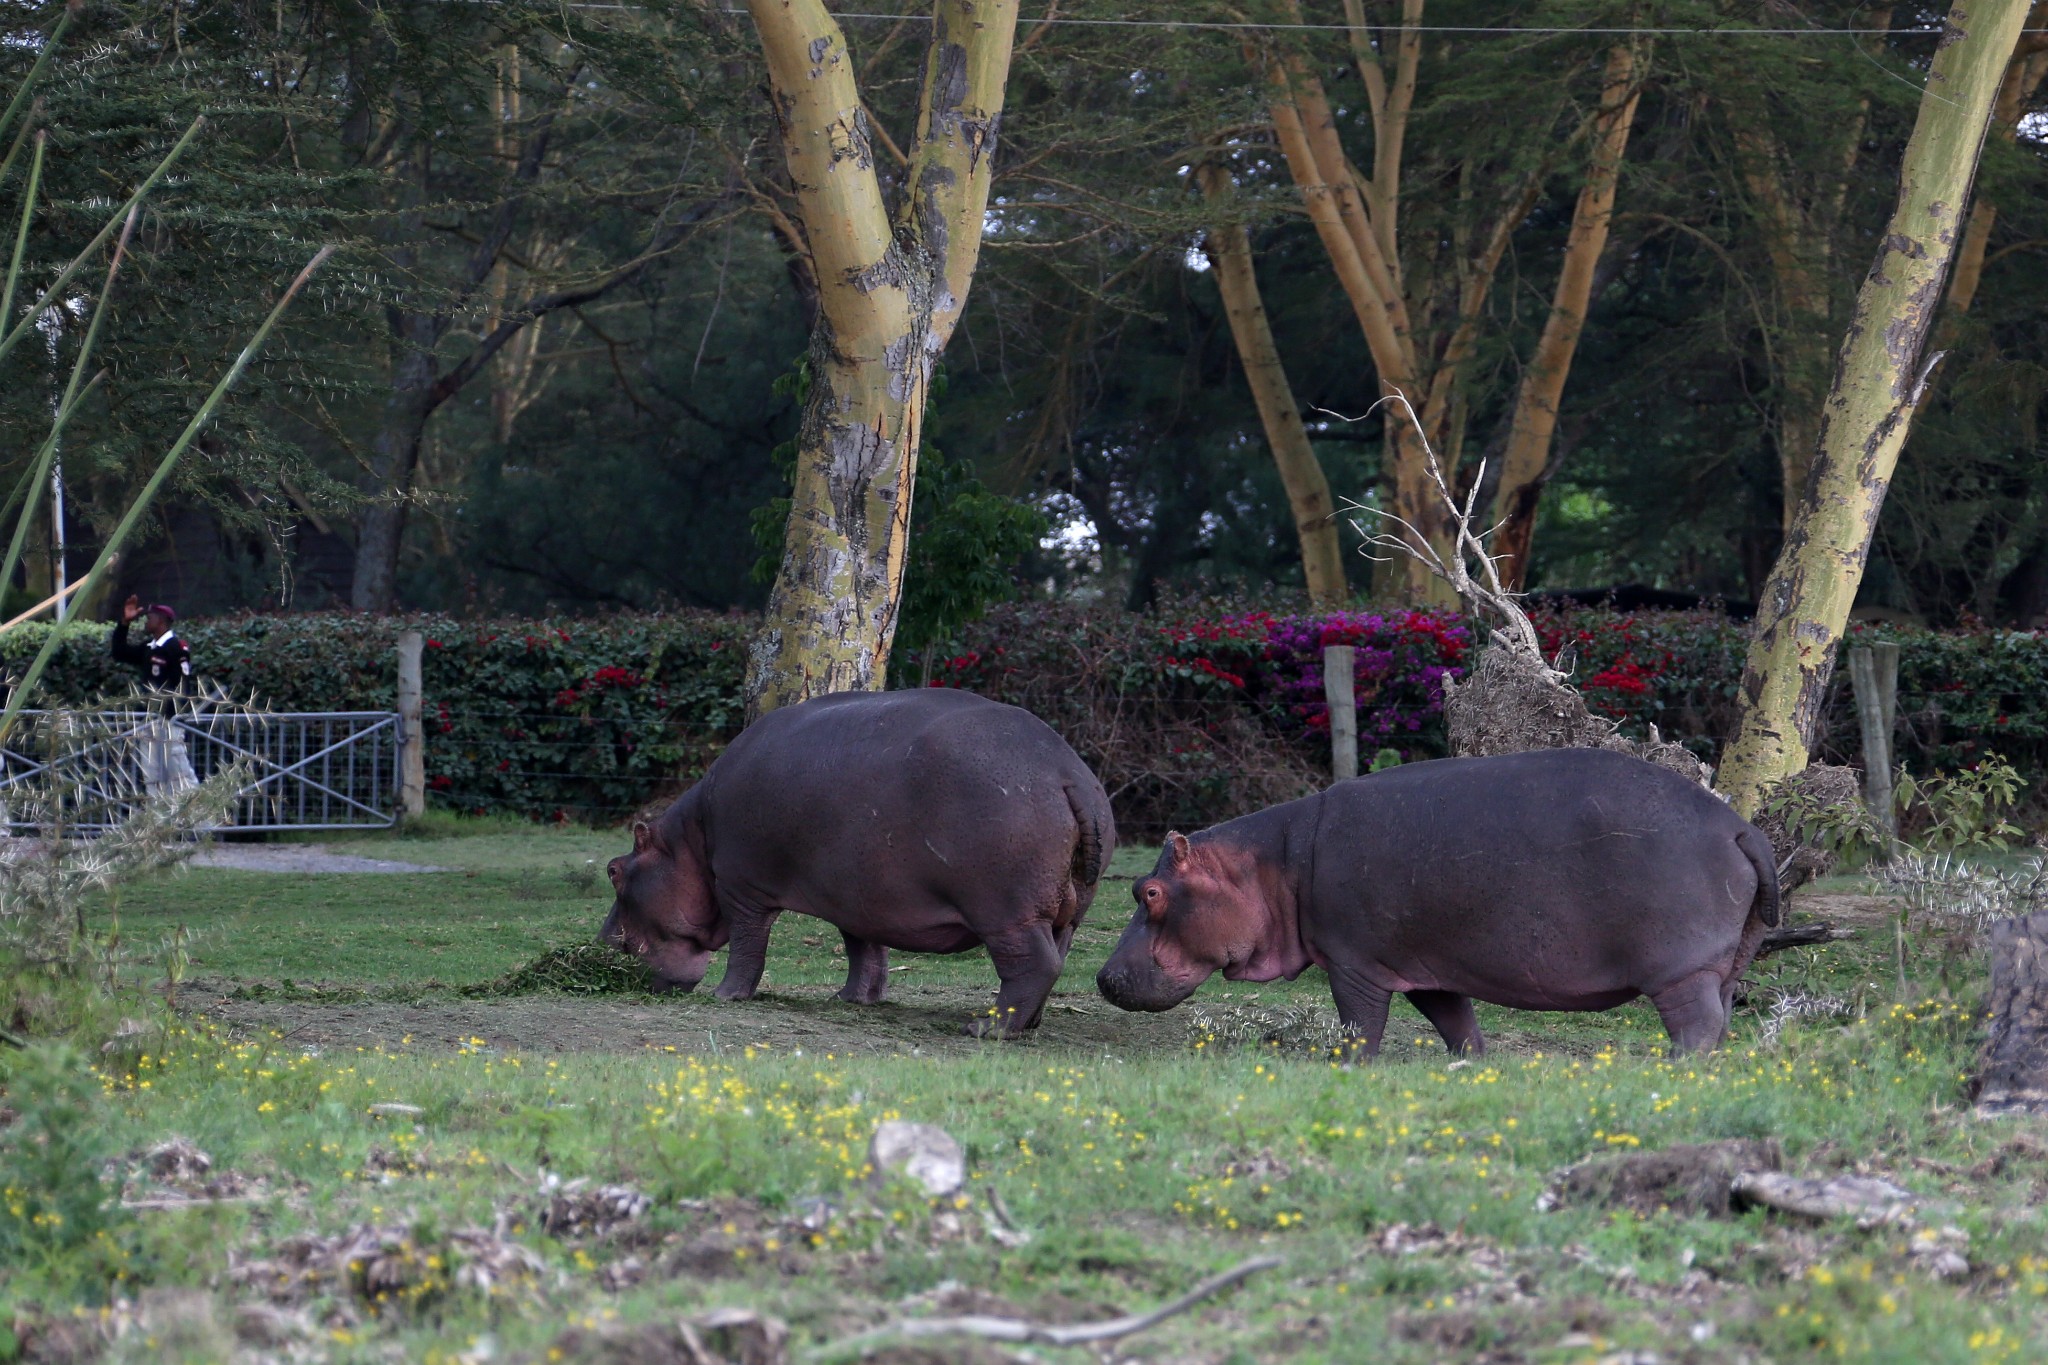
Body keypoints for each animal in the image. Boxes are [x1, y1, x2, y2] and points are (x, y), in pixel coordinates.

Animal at [602, 687, 1122, 1039]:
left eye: (614, 870)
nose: (603, 941)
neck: (691, 840)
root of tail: (1069, 774)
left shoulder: (739, 886)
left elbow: (748, 945)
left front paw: (725, 996)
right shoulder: (857, 896)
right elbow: (864, 951)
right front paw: (851, 1000)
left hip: (1006, 909)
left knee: (1033, 964)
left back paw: (986, 1029)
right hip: (1066, 912)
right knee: (1057, 958)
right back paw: (1027, 1026)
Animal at [1097, 749, 1785, 1055]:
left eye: (1148, 892)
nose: (1103, 977)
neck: (1271, 865)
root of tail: (1739, 827)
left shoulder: (1354, 962)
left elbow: (1360, 1026)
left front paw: (1348, 1068)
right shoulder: (1426, 965)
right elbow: (1456, 1024)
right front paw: (1471, 1067)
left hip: (1681, 968)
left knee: (1696, 1025)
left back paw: (1671, 1070)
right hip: (1728, 962)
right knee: (1722, 1018)